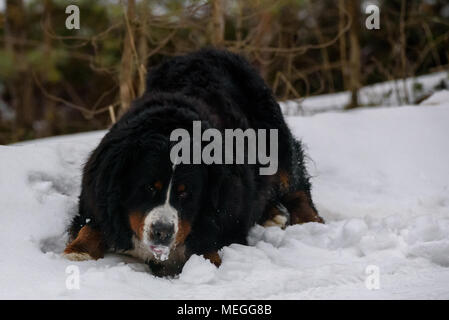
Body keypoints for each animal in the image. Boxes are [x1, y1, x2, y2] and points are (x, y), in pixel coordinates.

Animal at [63, 48, 322, 276]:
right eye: (148, 187)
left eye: (185, 193)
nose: (162, 232)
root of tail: (208, 51)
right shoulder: (97, 195)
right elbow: (91, 225)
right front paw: (78, 251)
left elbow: (208, 244)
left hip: (275, 142)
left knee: (295, 182)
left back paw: (312, 223)